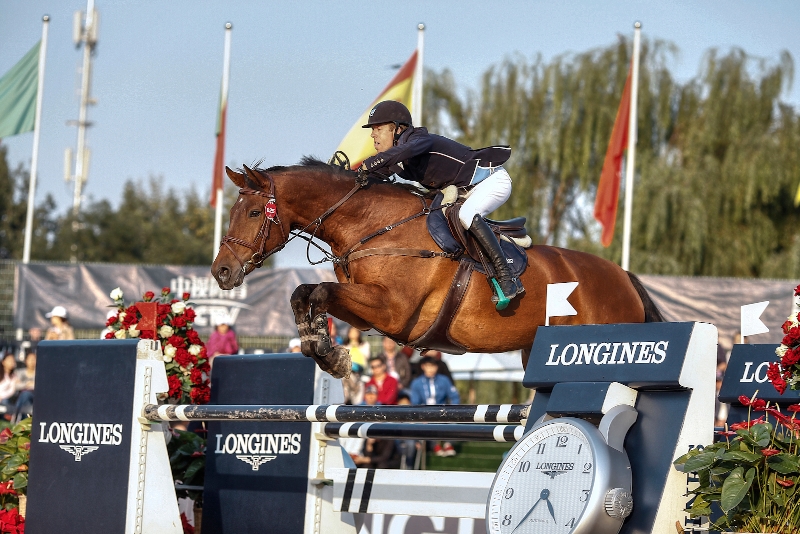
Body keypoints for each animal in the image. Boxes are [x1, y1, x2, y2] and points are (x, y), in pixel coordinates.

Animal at [212, 159, 664, 382]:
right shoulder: (368, 312)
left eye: (253, 212)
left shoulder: (394, 311)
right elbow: (302, 293)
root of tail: (626, 278)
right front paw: (319, 347)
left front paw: (331, 354)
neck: (373, 224)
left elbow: (318, 292)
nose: (221, 273)